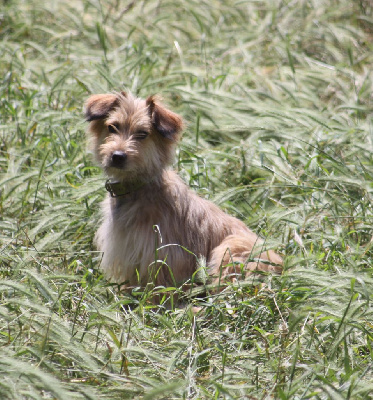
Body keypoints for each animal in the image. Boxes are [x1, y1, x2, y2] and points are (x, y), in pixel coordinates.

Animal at [84, 92, 282, 290]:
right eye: (112, 127)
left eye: (142, 134)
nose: (117, 156)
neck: (137, 188)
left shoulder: (164, 257)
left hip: (230, 247)